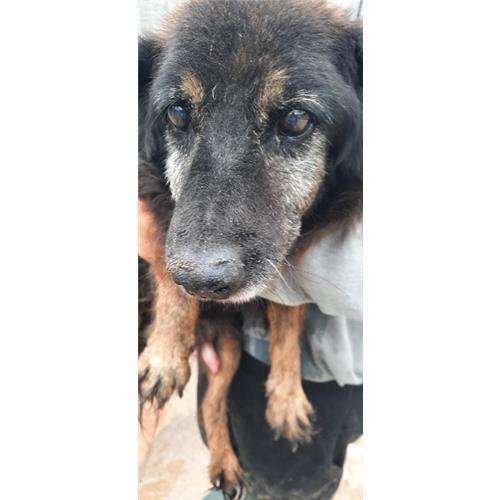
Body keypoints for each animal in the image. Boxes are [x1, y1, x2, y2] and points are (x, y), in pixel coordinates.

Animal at [138, 0, 362, 496]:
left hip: (229, 348)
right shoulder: (155, 208)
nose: (203, 281)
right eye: (177, 114)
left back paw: (226, 464)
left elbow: (288, 320)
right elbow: (165, 260)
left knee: (213, 407)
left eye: (296, 120)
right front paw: (164, 351)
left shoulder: (287, 260)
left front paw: (287, 394)